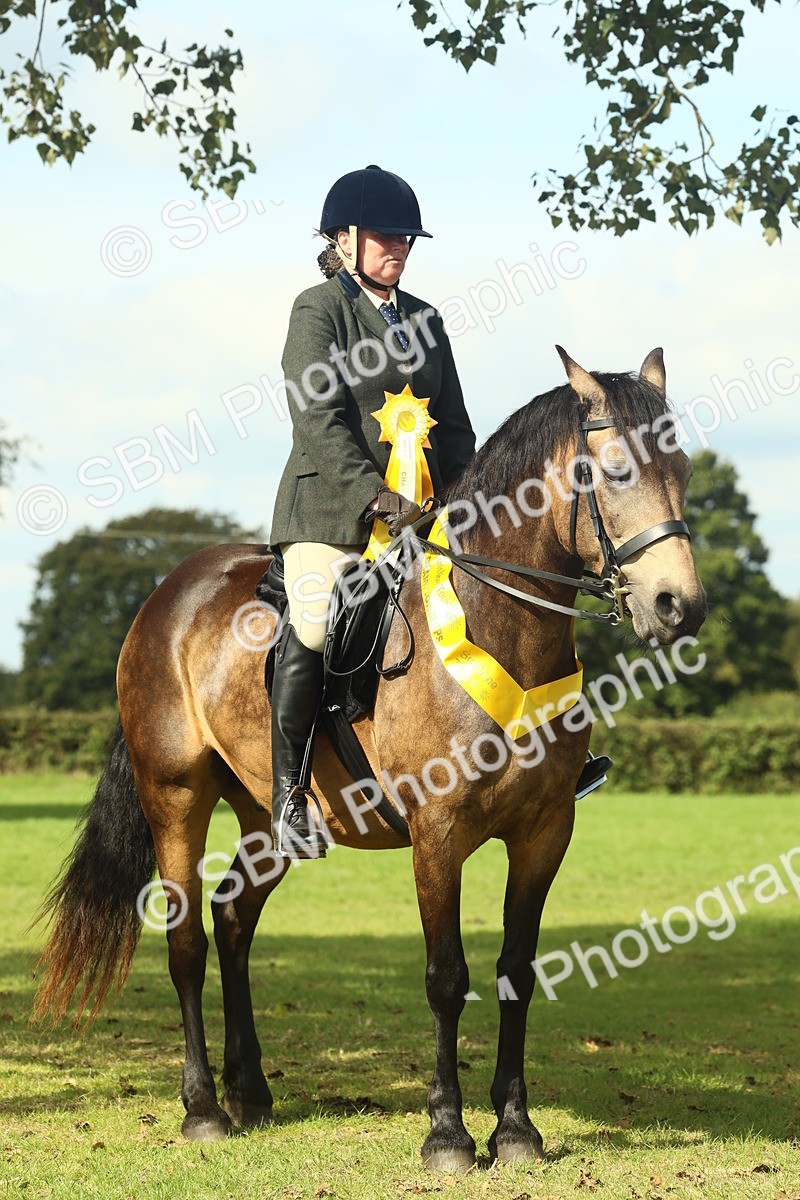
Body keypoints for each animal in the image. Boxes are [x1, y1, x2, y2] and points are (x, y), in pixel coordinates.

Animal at [34, 347, 706, 1171]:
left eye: (682, 469)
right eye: (612, 470)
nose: (680, 606)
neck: (502, 625)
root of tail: (164, 599)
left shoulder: (544, 833)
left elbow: (515, 971)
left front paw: (516, 1128)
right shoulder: (438, 836)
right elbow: (447, 976)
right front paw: (448, 1132)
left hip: (267, 815)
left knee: (232, 920)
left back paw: (250, 1092)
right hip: (176, 798)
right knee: (187, 938)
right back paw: (203, 1109)